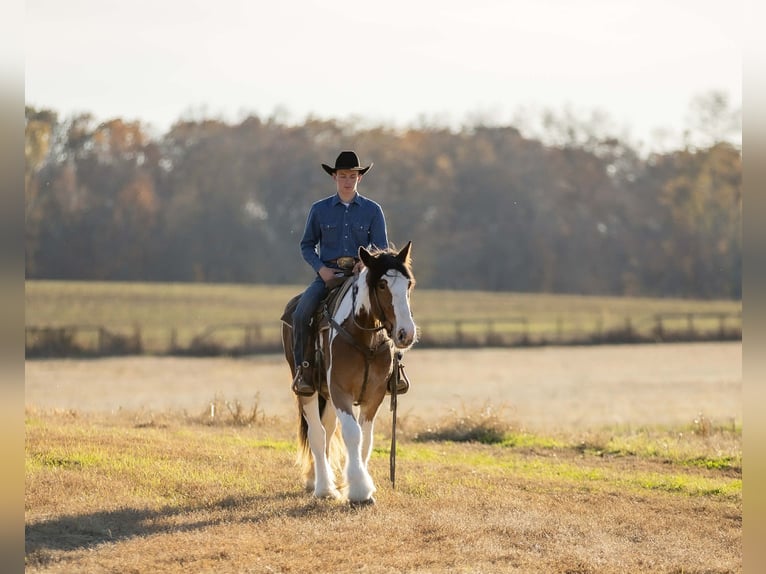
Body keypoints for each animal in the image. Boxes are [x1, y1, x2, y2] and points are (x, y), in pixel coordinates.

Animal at [280, 241, 417, 504]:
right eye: (382, 285)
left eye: (409, 284)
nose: (406, 334)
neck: (364, 339)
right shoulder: (340, 391)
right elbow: (352, 434)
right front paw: (359, 491)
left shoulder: (374, 395)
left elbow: (365, 439)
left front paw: (360, 486)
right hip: (308, 391)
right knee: (317, 433)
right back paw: (323, 487)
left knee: (327, 429)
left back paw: (316, 479)